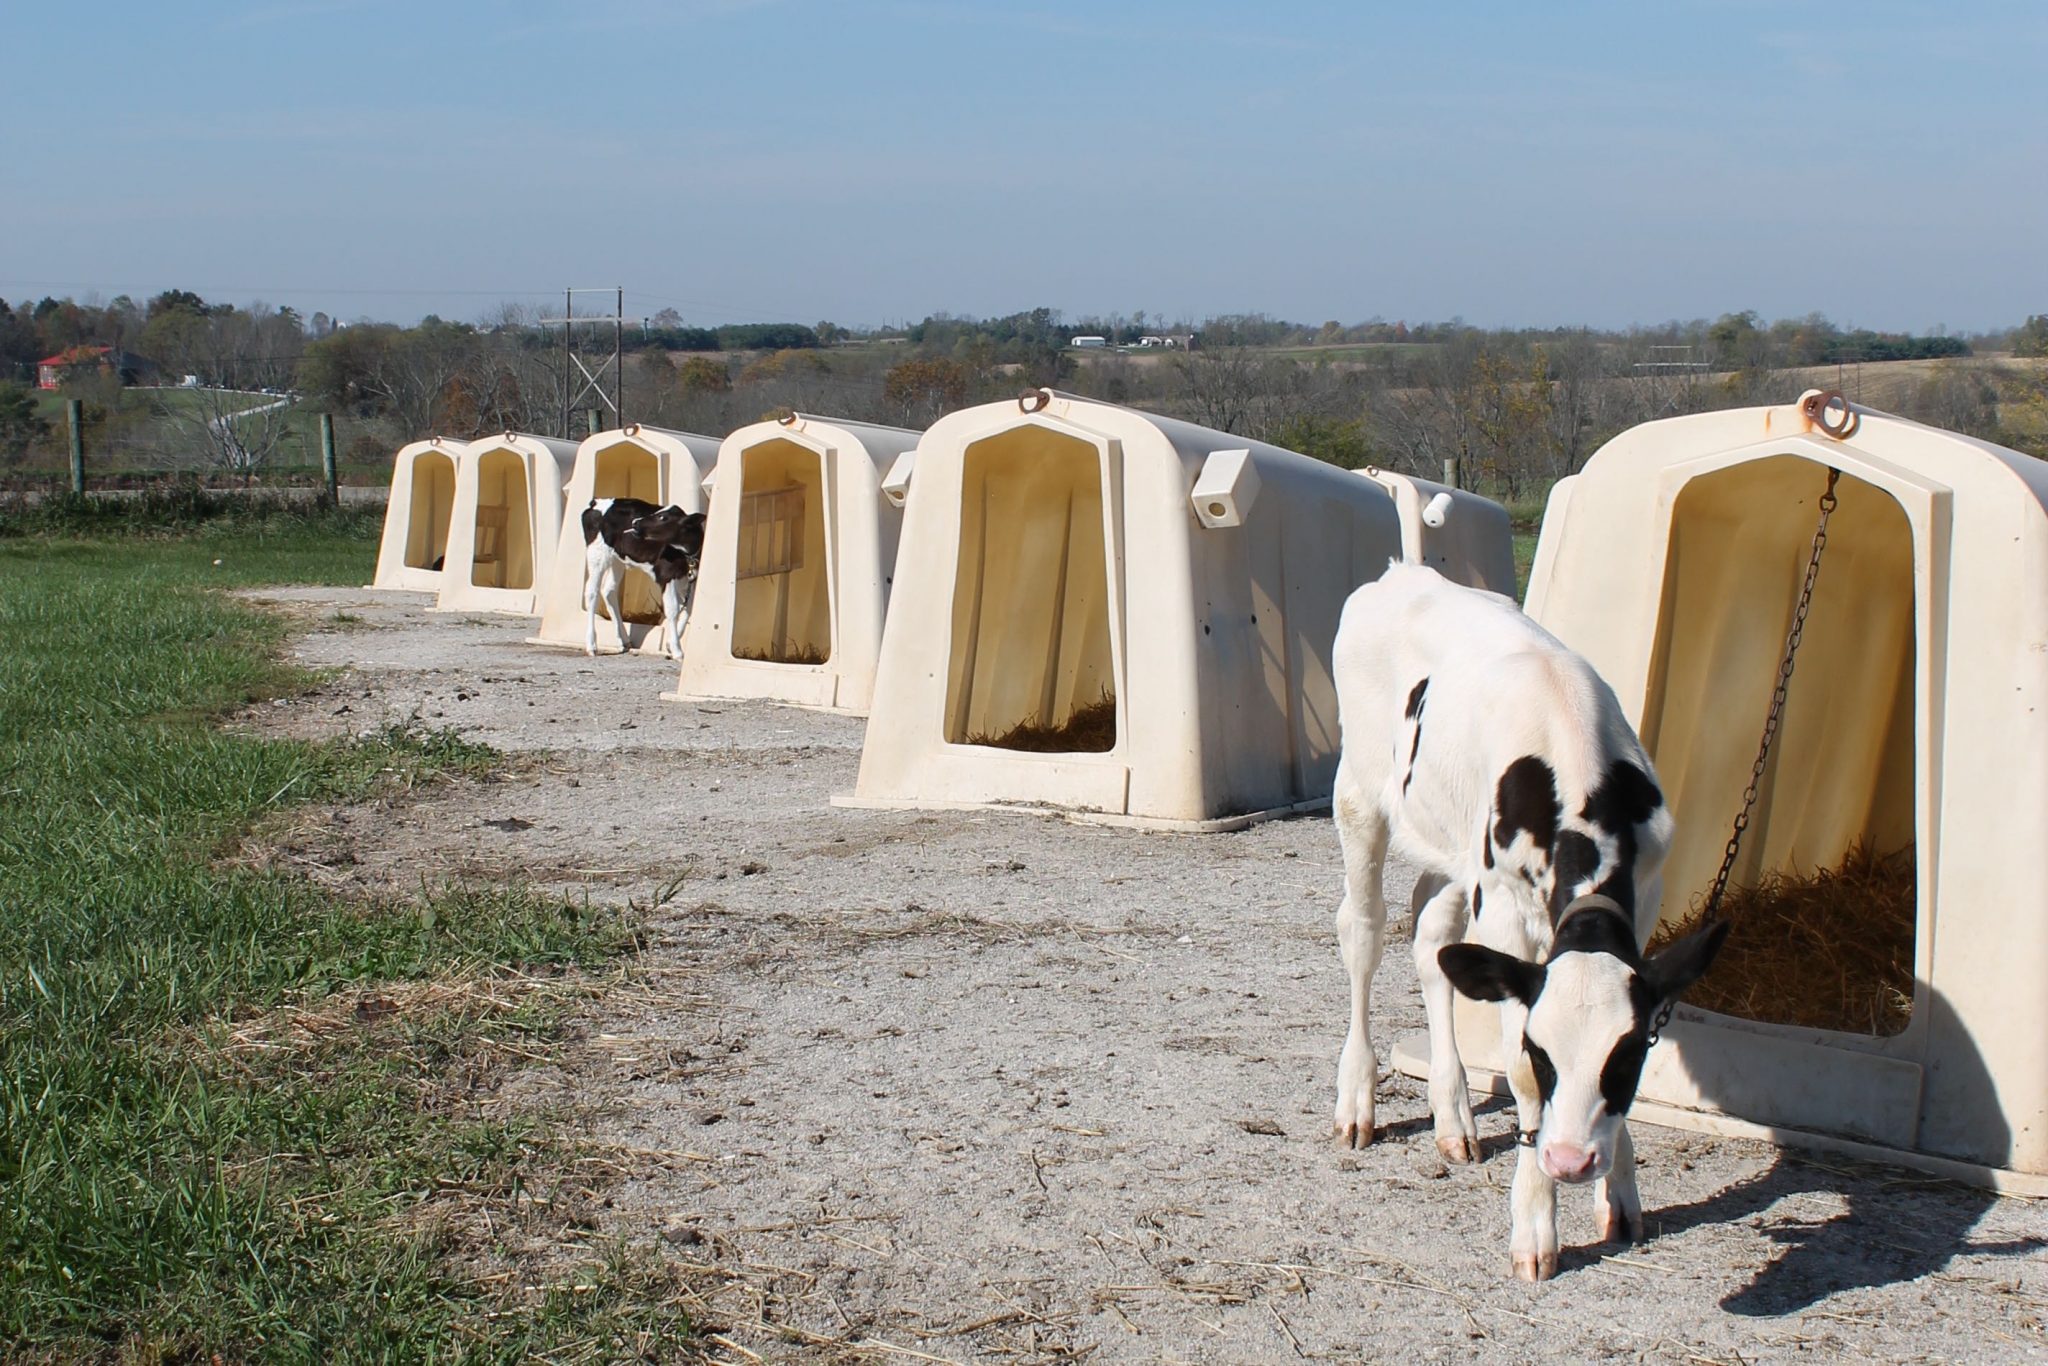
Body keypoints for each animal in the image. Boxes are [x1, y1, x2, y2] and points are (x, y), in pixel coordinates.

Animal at [581, 499, 708, 659]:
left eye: (663, 517)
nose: (635, 522)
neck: (686, 556)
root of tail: (597, 502)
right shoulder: (666, 576)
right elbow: (673, 609)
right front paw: (677, 650)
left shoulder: (688, 578)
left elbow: (688, 609)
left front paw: (669, 644)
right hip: (597, 554)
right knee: (592, 593)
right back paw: (591, 645)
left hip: (617, 559)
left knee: (609, 591)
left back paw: (624, 641)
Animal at [1327, 565, 1728, 1286]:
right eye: (1545, 1054)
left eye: (1627, 1056)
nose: (1571, 1161)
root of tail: (1399, 571)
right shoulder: (1506, 913)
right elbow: (1512, 1071)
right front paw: (1535, 1226)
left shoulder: (1645, 898)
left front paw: (1621, 1195)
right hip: (1361, 798)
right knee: (1364, 933)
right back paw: (1356, 1103)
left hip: (1454, 845)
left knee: (1434, 942)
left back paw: (1454, 1117)